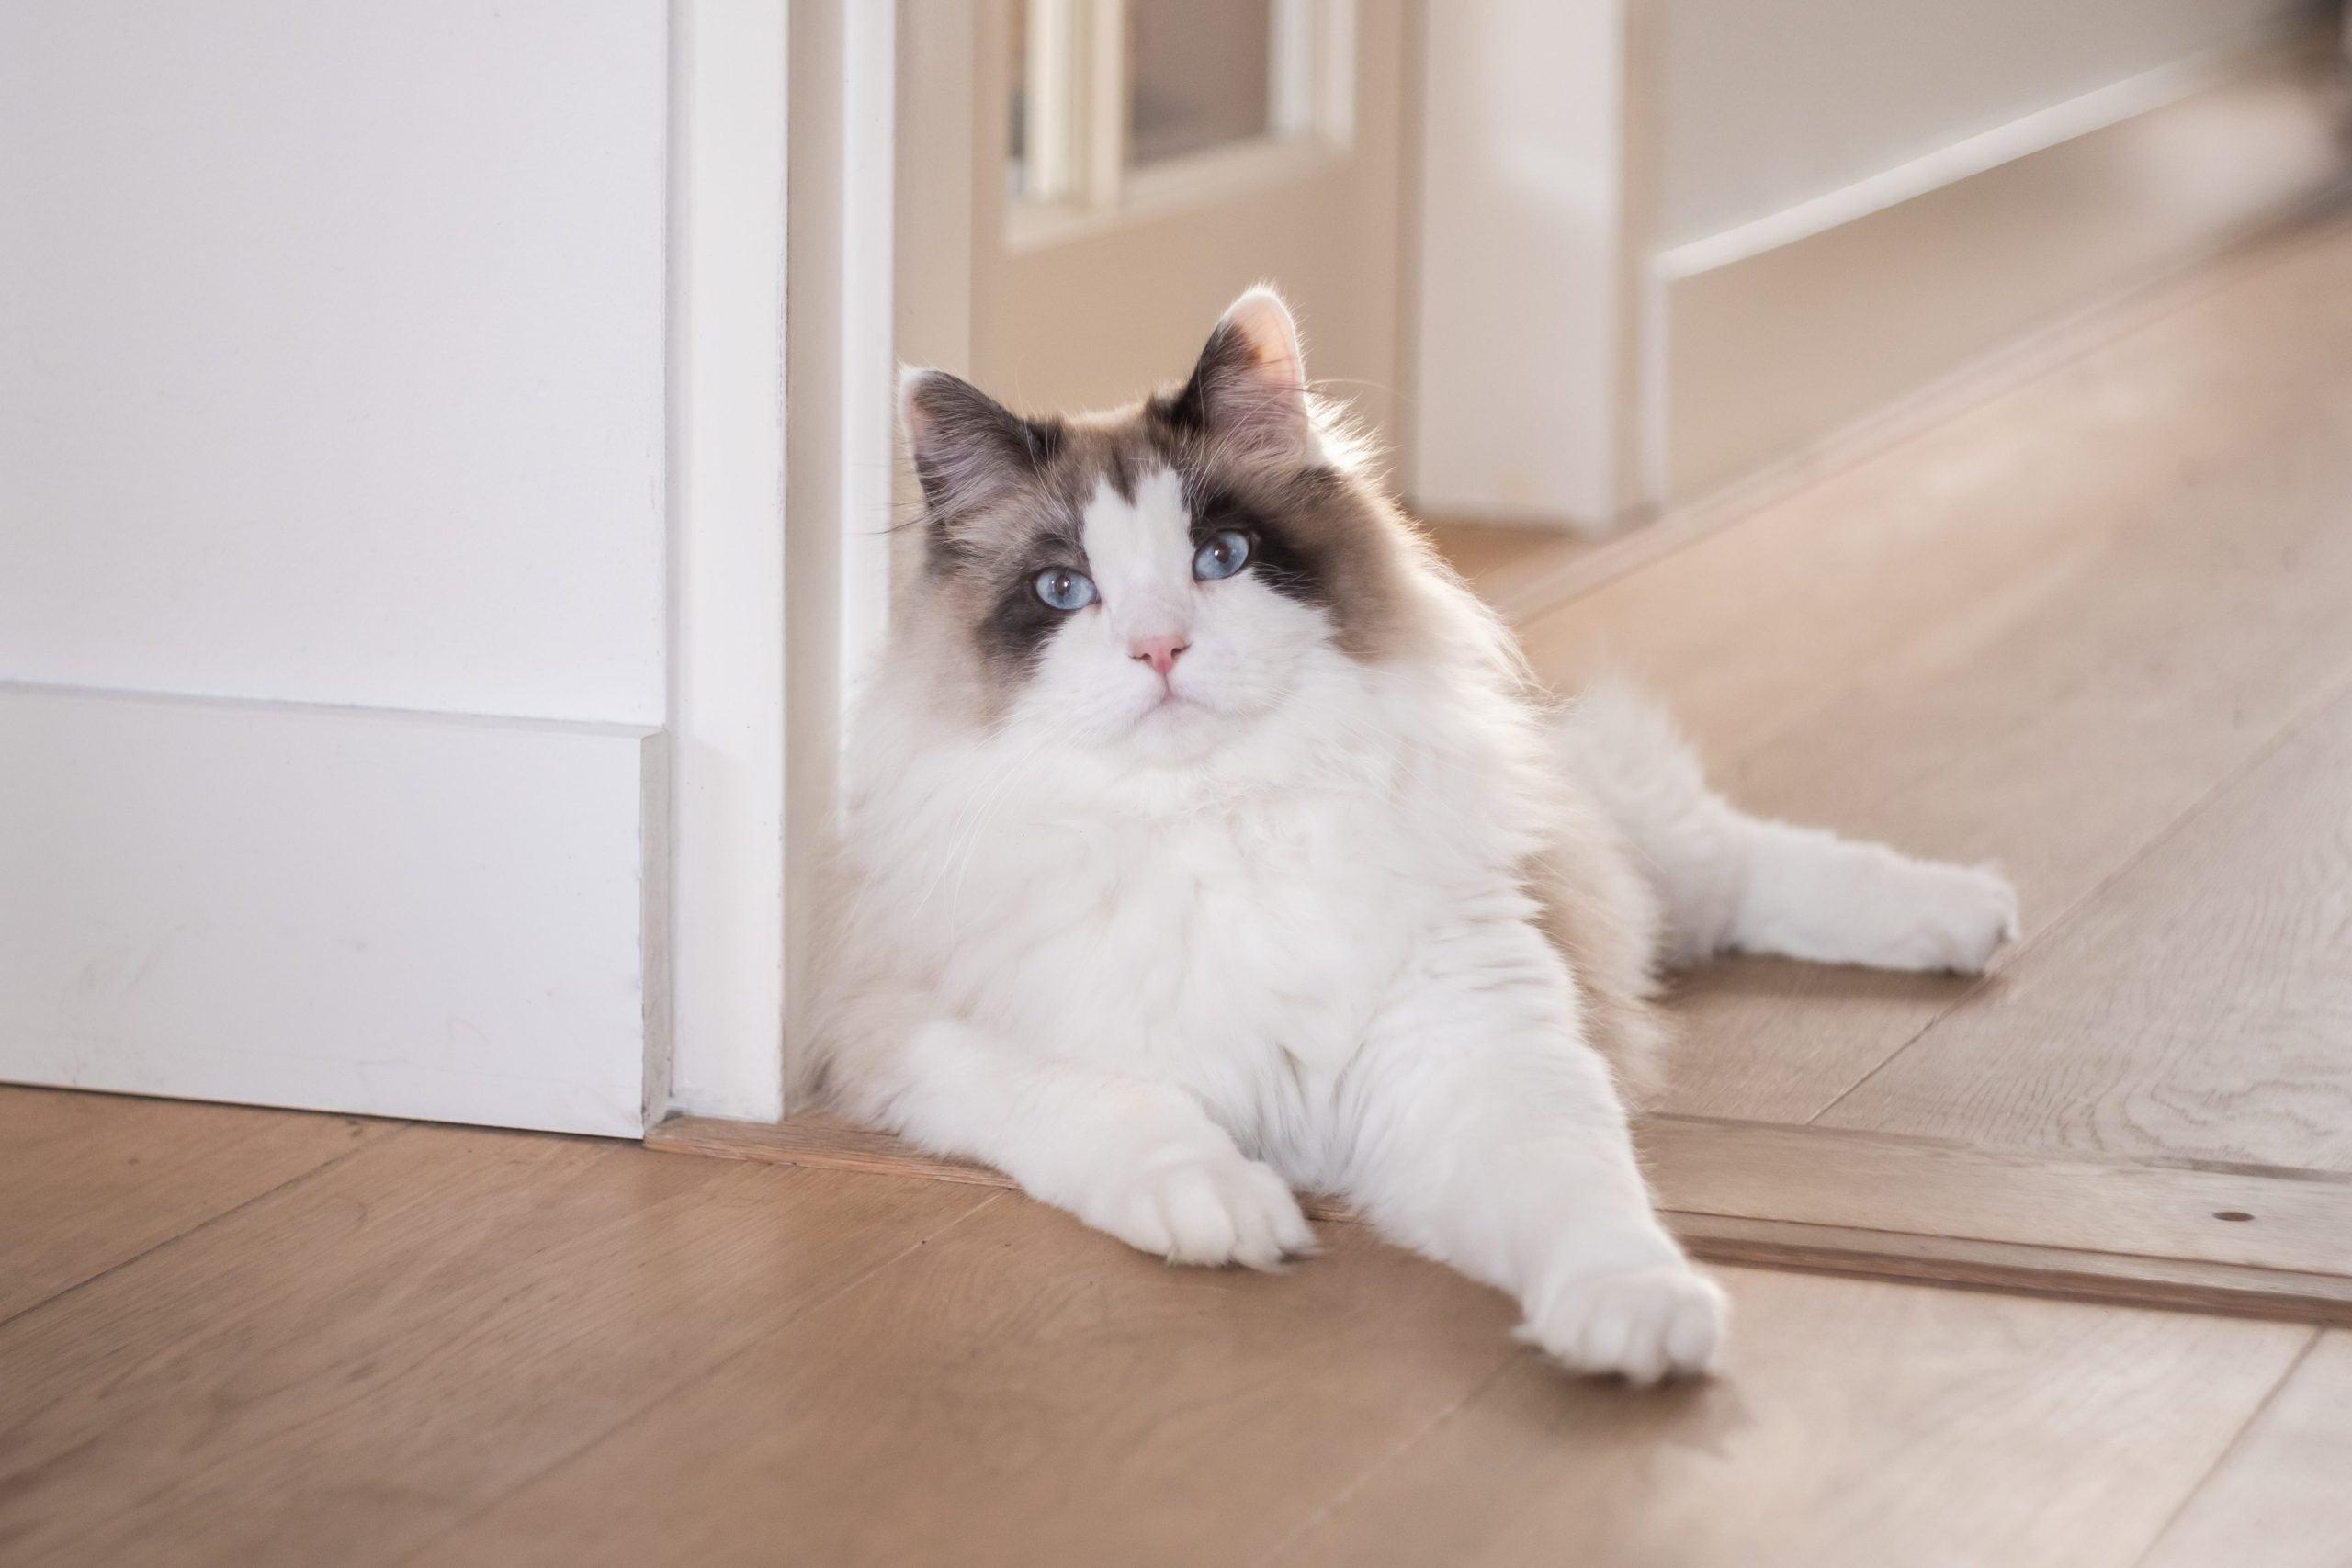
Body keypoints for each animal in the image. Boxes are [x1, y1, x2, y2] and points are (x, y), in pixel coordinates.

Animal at [795, 285, 2022, 1382]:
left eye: (1219, 559)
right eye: (1064, 590)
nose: (1158, 649)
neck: (1215, 822)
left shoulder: (1479, 1045)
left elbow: (1587, 1204)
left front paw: (1636, 1318)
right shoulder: (921, 1035)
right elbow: (1123, 1112)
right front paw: (1226, 1209)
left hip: (1623, 849)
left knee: (1736, 858)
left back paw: (1969, 916)